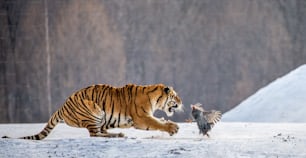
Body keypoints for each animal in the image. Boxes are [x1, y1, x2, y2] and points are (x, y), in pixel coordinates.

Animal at [1, 83, 182, 140]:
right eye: (175, 96)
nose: (182, 103)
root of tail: (61, 107)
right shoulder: (142, 118)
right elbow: (157, 123)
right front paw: (173, 128)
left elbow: (160, 121)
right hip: (94, 111)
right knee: (95, 134)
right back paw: (117, 135)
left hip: (103, 118)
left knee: (100, 132)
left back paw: (118, 134)